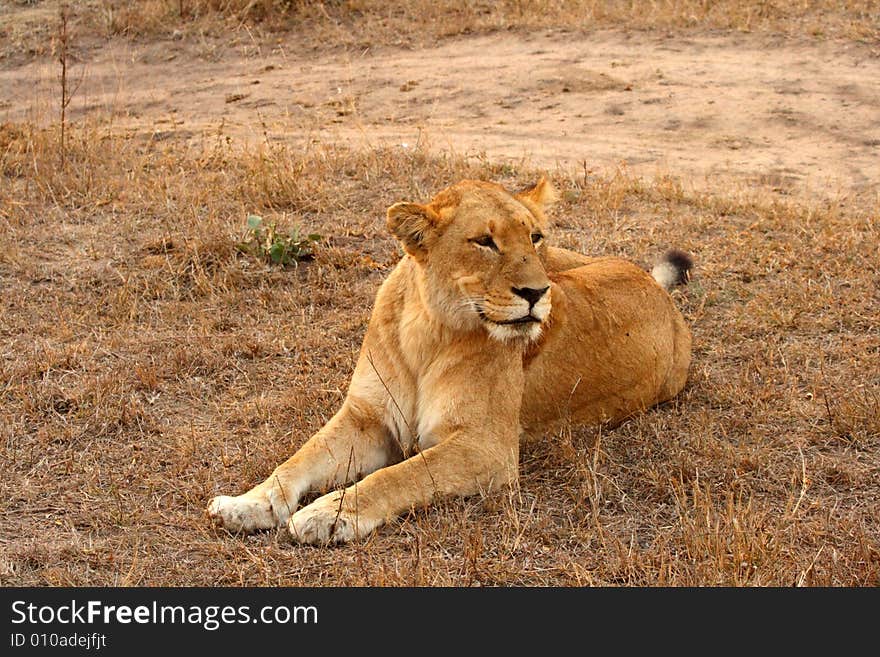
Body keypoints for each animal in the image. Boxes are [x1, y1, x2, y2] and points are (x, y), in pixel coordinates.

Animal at [208, 178, 696, 544]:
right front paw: (246, 504)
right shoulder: (368, 418)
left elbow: (401, 475)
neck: (429, 330)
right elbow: (298, 458)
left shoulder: (487, 447)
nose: (538, 293)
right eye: (485, 242)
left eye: (534, 236)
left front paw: (330, 513)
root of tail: (653, 285)